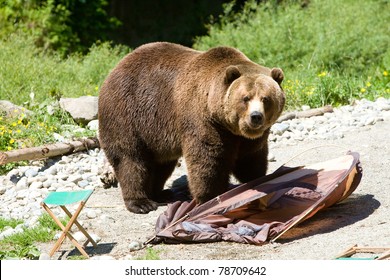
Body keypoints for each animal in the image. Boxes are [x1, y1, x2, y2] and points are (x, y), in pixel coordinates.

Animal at [99, 41, 284, 213]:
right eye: (246, 98)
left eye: (266, 98)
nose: (256, 116)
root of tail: (116, 68)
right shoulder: (203, 121)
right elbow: (208, 159)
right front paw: (210, 197)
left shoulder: (247, 138)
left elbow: (250, 158)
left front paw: (257, 181)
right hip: (128, 114)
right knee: (130, 159)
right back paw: (141, 202)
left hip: (156, 134)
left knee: (161, 164)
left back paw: (161, 193)